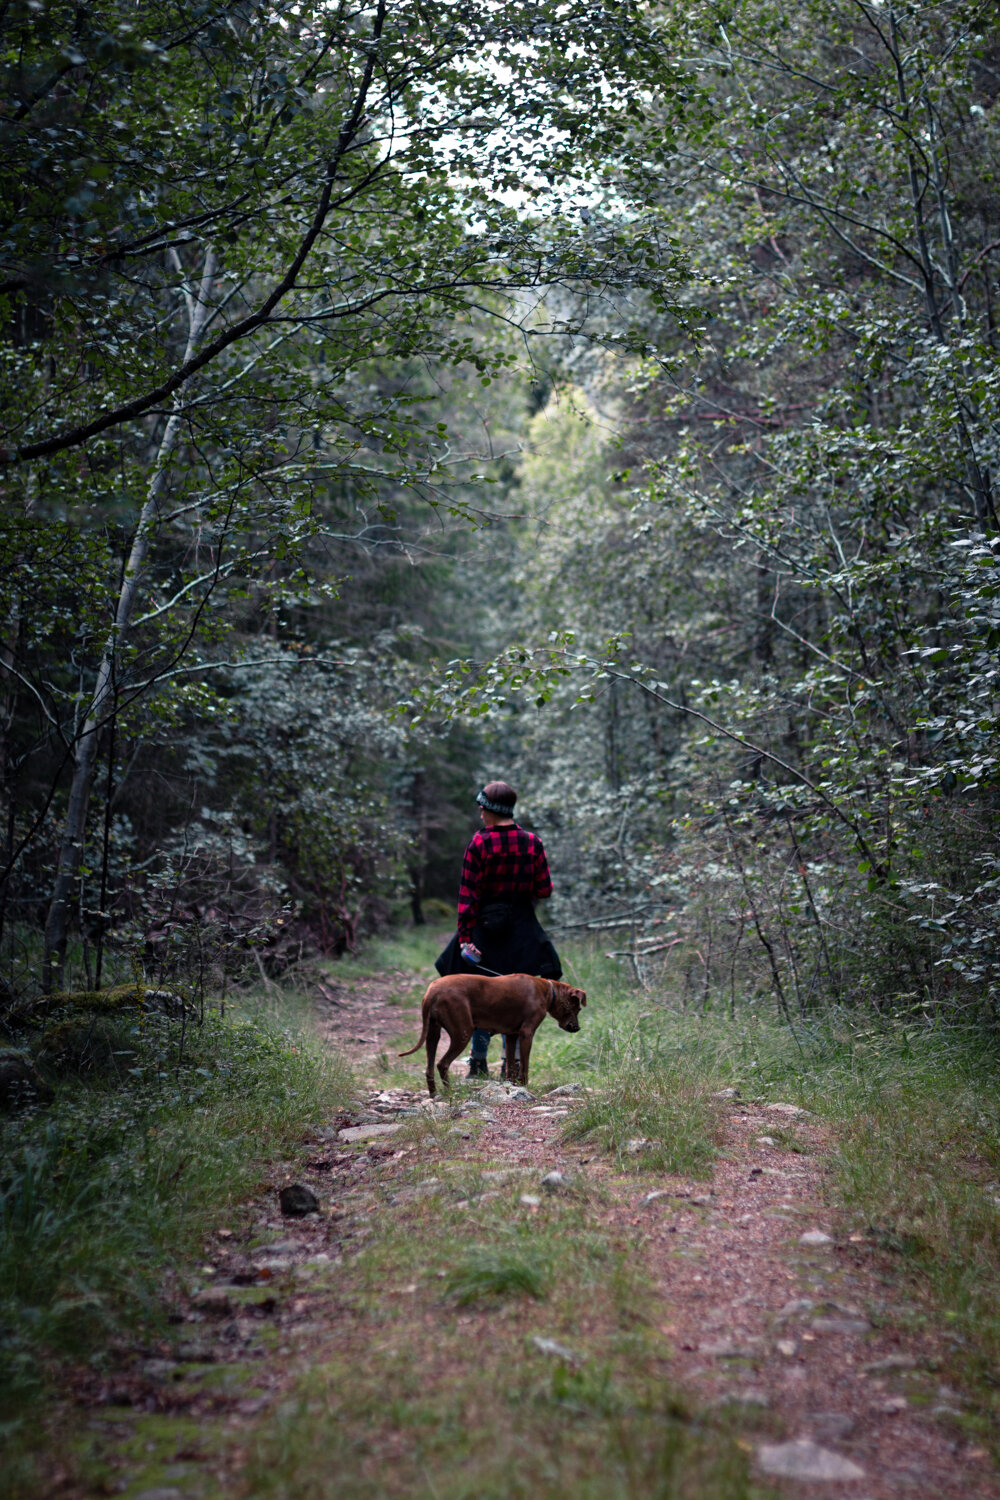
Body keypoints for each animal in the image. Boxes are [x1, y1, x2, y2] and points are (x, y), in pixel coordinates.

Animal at [398, 972, 587, 1092]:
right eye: (577, 1008)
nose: (577, 1028)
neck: (547, 990)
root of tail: (432, 990)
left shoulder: (511, 1036)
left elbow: (510, 1066)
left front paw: (512, 1086)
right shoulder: (526, 1034)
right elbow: (524, 1066)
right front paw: (525, 1086)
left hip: (433, 1034)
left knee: (429, 1068)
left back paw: (435, 1095)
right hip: (463, 1033)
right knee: (442, 1064)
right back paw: (450, 1093)